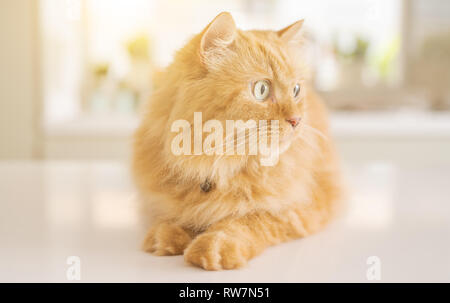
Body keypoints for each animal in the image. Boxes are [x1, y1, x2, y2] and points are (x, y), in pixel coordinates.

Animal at [132, 13, 342, 272]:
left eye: (295, 90)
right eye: (262, 89)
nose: (297, 120)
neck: (215, 166)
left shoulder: (302, 207)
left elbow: (248, 220)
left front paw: (212, 247)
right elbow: (175, 215)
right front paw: (166, 237)